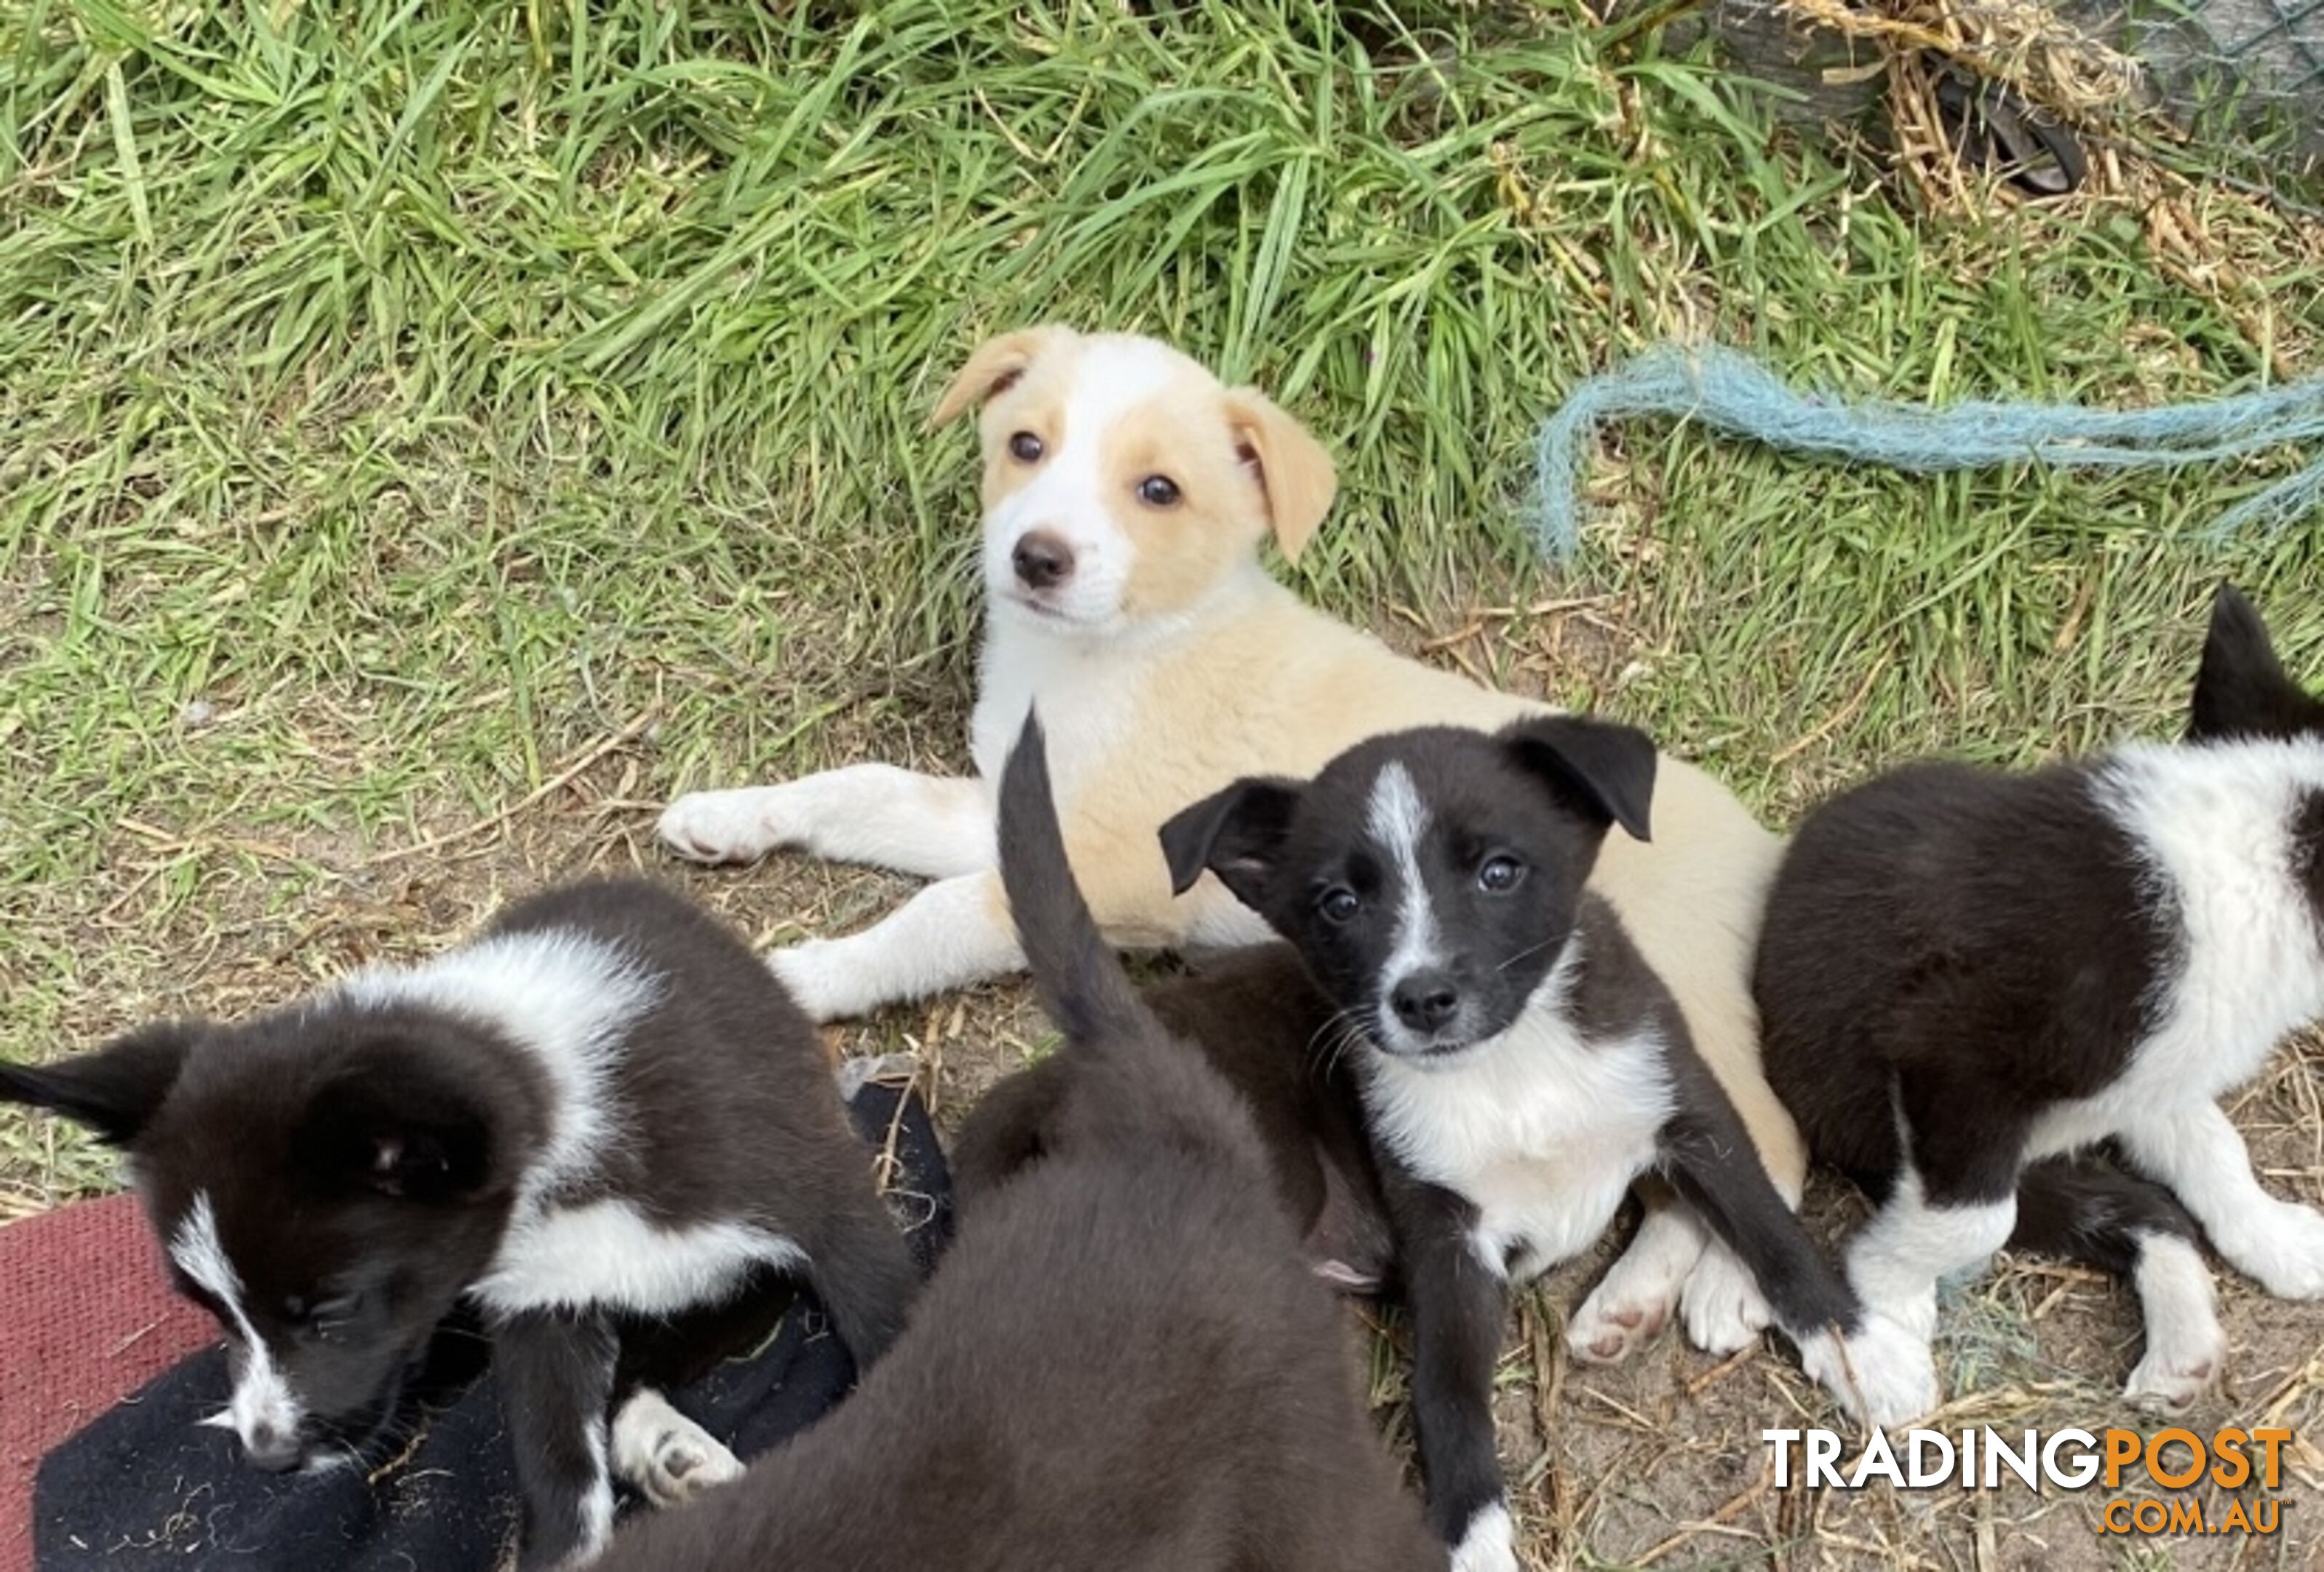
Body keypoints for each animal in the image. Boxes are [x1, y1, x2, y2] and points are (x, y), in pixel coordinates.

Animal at [0, 878, 925, 1563]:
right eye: (215, 1315)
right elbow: (558, 1472)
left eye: (331, 1311)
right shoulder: (539, 1313)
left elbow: (895, 1344)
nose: (267, 1455)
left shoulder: (828, 1209)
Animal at [1162, 716, 1887, 1572]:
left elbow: (1771, 1233)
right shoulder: (1445, 1235)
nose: (1423, 999)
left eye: (1498, 873)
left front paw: (1870, 1358)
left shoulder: (1686, 1108)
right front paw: (1473, 1539)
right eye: (1339, 903)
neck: (1511, 1068)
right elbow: (1445, 1392)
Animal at [1756, 584, 2324, 1413]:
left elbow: (2217, 1149)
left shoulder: (2156, 1063)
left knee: (2146, 1206)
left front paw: (2276, 1237)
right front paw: (1887, 1299)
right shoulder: (1956, 1058)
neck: (2266, 854)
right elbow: (1976, 1222)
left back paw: (2181, 1346)